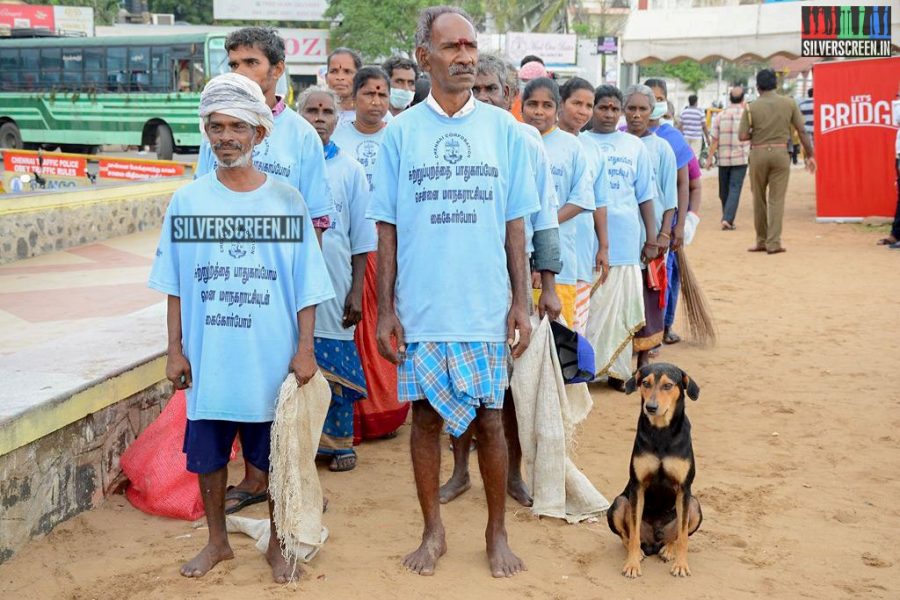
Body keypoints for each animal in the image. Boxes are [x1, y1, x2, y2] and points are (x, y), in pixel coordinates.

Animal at [608, 360, 700, 576]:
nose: (650, 407)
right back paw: (640, 552)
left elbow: (683, 535)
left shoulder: (684, 489)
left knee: (677, 535)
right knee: (626, 536)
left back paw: (669, 550)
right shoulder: (638, 486)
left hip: (694, 504)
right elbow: (633, 534)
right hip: (619, 503)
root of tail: (654, 543)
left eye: (668, 385)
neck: (661, 432)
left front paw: (681, 565)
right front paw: (632, 564)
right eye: (645, 383)